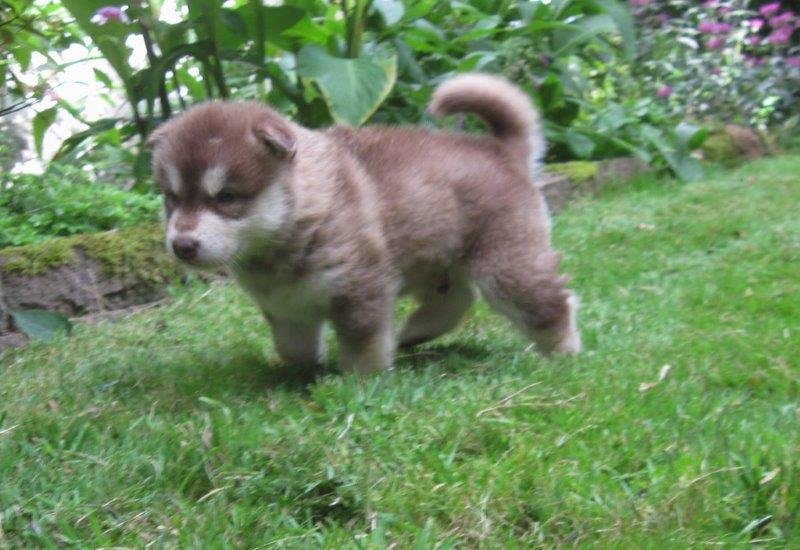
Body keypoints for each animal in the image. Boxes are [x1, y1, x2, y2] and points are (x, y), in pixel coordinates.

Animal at [148, 73, 581, 374]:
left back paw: (564, 352)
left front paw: (360, 381)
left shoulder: (359, 287)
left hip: (505, 261)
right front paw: (301, 370)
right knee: (456, 297)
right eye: (171, 197)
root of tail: (498, 150)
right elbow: (291, 343)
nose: (181, 245)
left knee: (550, 302)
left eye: (226, 197)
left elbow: (362, 342)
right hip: (434, 256)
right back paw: (416, 332)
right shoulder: (284, 304)